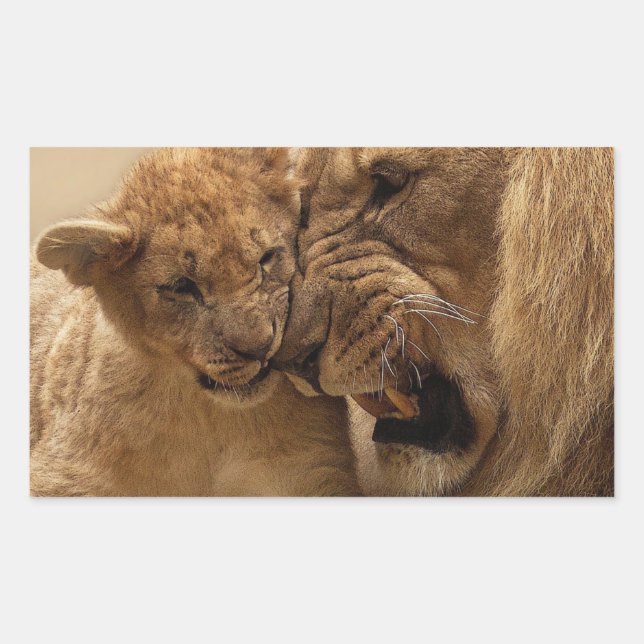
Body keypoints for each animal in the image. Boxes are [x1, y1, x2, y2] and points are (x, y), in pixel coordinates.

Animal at [30, 147, 358, 496]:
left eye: (267, 258)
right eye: (181, 287)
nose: (261, 348)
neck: (210, 419)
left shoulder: (311, 470)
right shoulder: (66, 476)